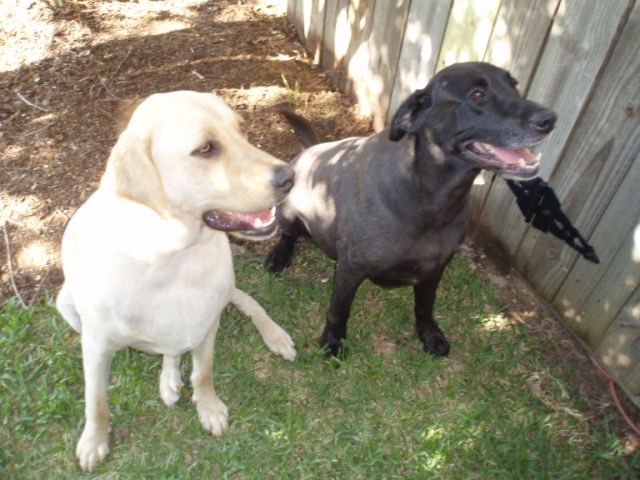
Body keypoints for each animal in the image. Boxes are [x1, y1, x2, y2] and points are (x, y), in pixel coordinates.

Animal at [56, 91, 297, 472]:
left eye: (242, 130)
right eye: (205, 149)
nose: (290, 176)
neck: (173, 258)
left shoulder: (208, 325)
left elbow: (203, 373)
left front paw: (208, 407)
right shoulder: (94, 345)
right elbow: (96, 401)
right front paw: (94, 441)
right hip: (65, 303)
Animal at [266, 62, 556, 358]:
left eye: (514, 86)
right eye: (477, 95)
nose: (549, 119)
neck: (427, 200)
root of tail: (310, 151)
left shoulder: (435, 270)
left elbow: (424, 307)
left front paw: (429, 334)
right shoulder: (350, 269)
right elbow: (339, 310)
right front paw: (333, 340)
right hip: (288, 214)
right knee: (287, 235)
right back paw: (279, 255)